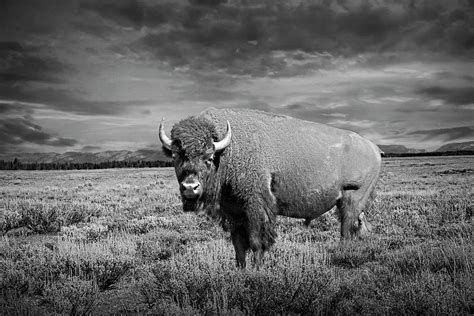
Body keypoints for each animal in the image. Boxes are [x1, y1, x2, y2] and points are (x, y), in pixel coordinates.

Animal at [159, 108, 382, 266]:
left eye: (209, 157)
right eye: (176, 155)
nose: (190, 187)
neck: (229, 151)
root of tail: (373, 147)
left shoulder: (256, 209)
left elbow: (257, 242)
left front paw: (257, 272)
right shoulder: (233, 212)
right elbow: (238, 246)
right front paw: (240, 271)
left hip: (351, 199)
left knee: (347, 231)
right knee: (361, 227)